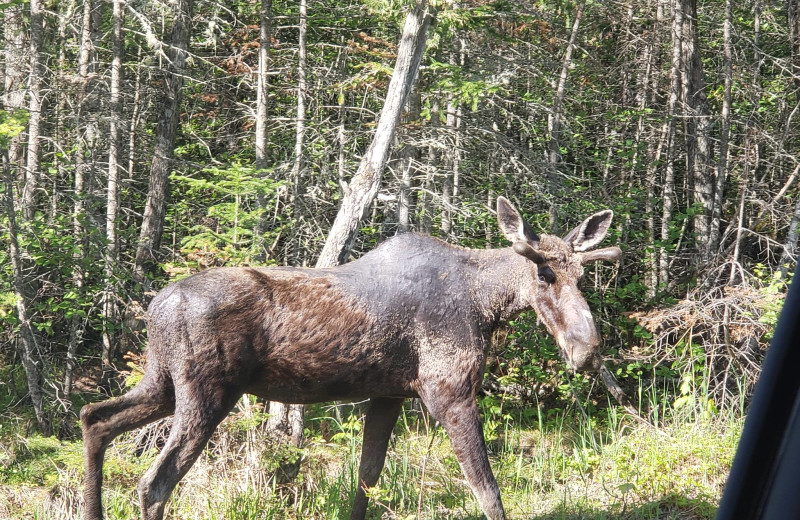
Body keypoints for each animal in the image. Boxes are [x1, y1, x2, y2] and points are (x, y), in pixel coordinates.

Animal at [79, 197, 620, 516]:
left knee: (96, 418)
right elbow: (487, 488)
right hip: (206, 393)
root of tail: (156, 306)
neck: (487, 302)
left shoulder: (389, 395)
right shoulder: (448, 391)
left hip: (162, 383)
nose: (587, 350)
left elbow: (366, 479)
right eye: (544, 274)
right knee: (154, 482)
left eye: (581, 275)